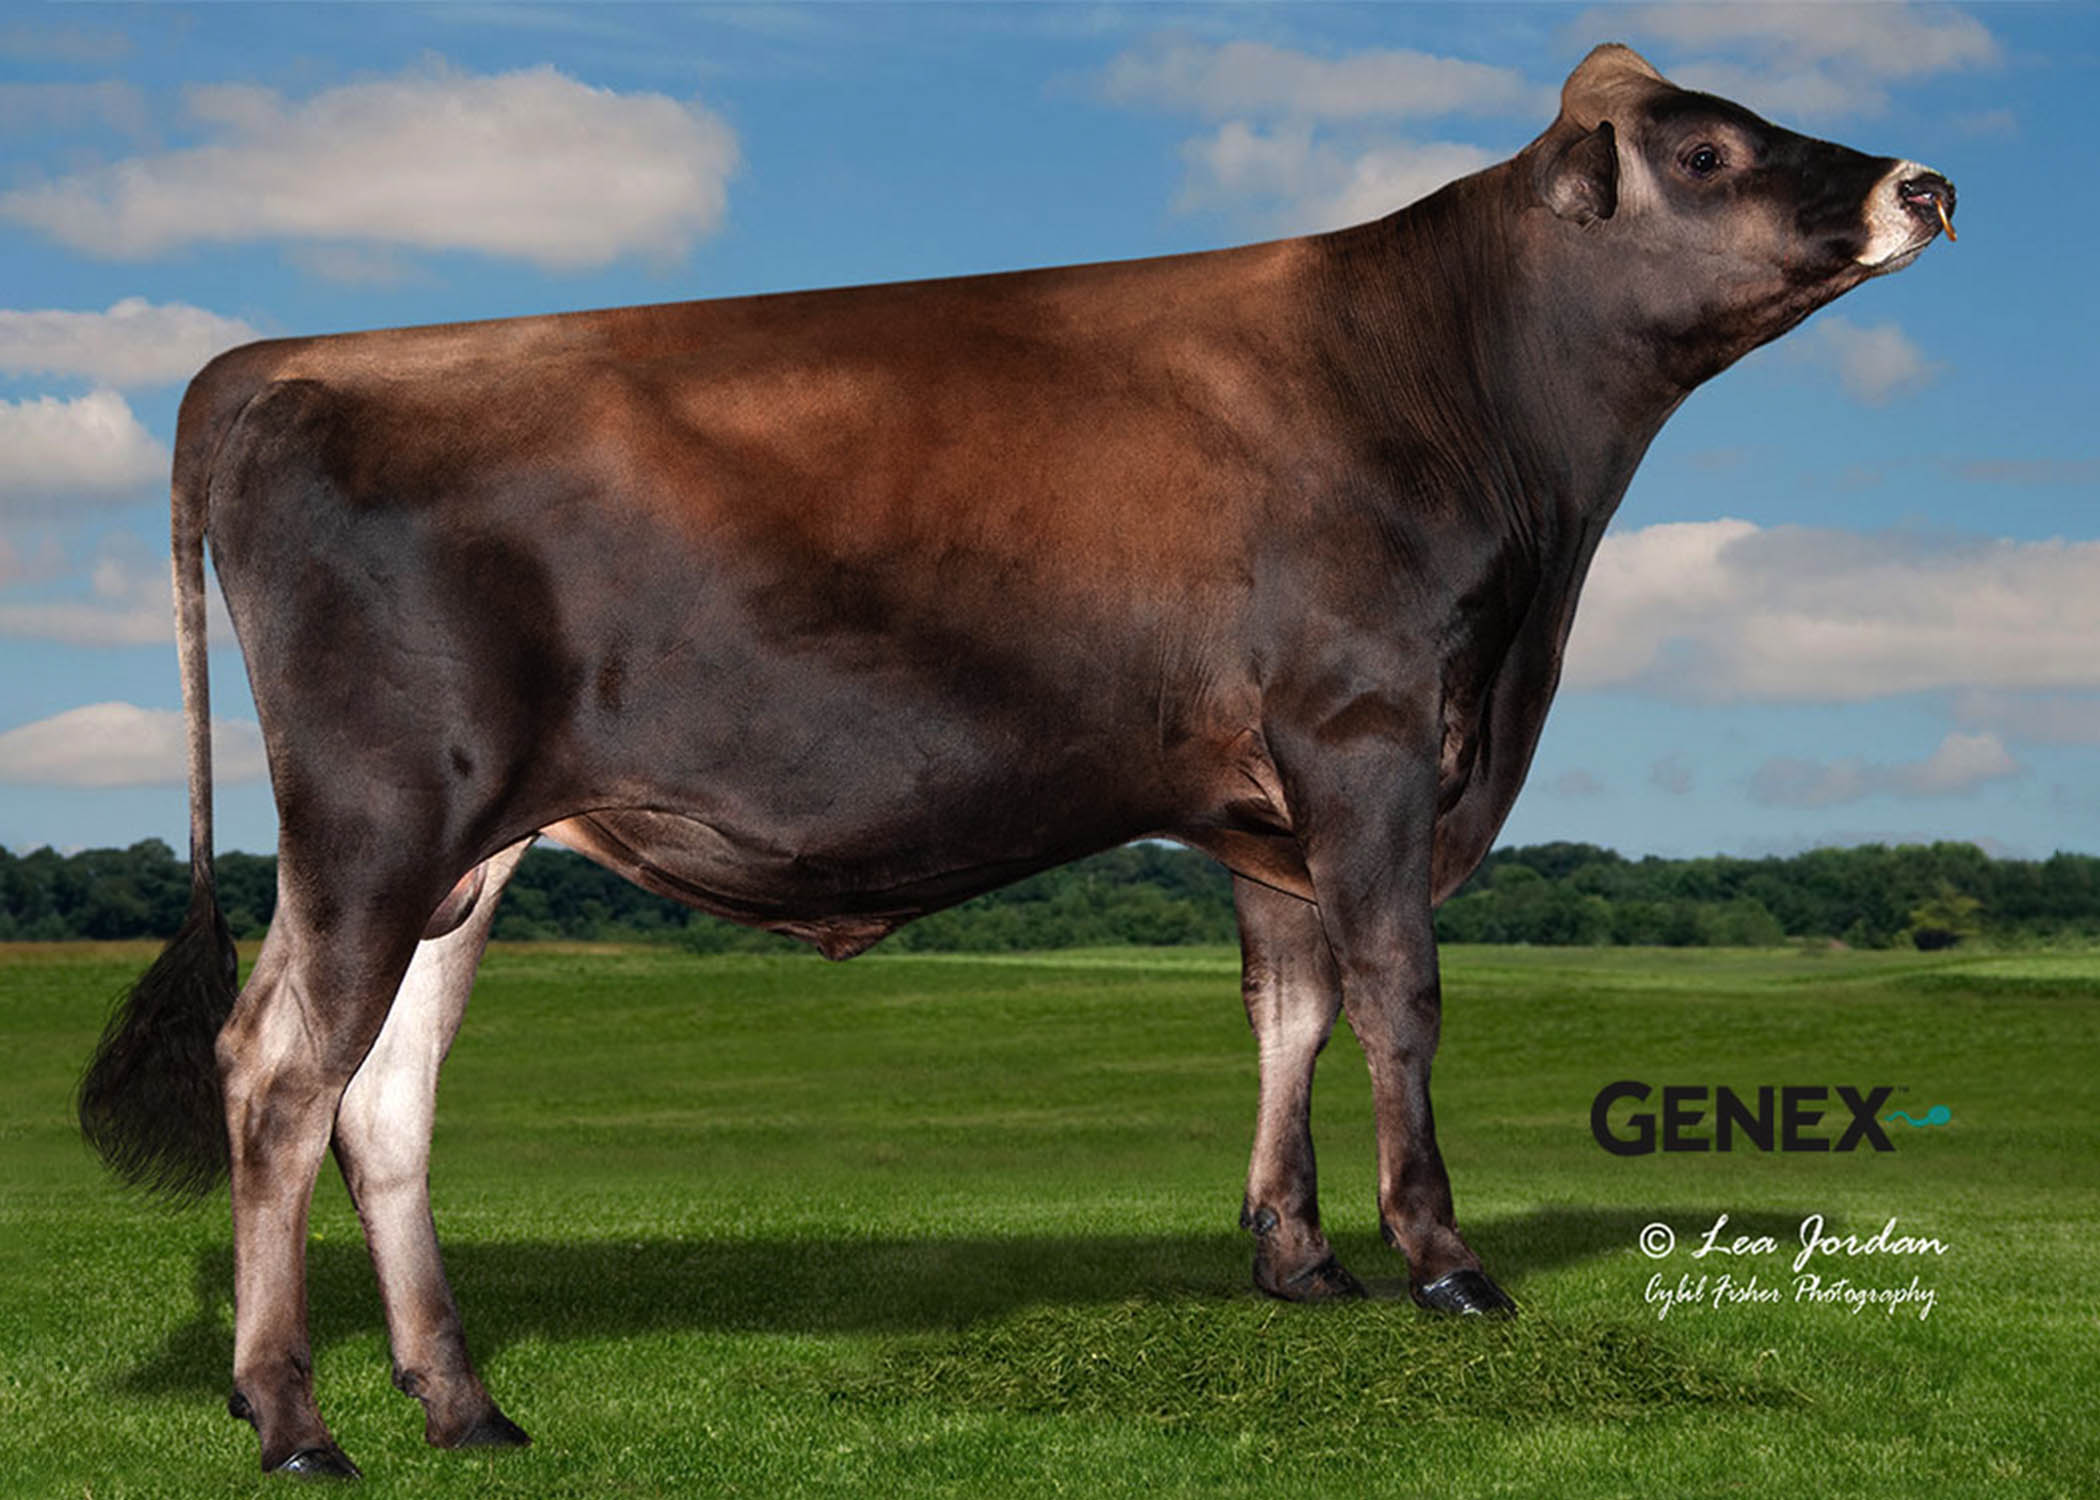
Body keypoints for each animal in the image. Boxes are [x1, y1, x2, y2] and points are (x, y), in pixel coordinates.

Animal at [78, 44, 1952, 1477]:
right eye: (1707, 153)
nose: (1927, 184)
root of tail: (276, 363)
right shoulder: (1364, 735)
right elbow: (1397, 994)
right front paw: (1443, 1263)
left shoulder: (1267, 802)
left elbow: (1291, 1008)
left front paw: (1298, 1262)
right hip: (378, 817)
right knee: (279, 1074)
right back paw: (293, 1420)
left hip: (467, 854)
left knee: (383, 1100)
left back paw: (463, 1407)